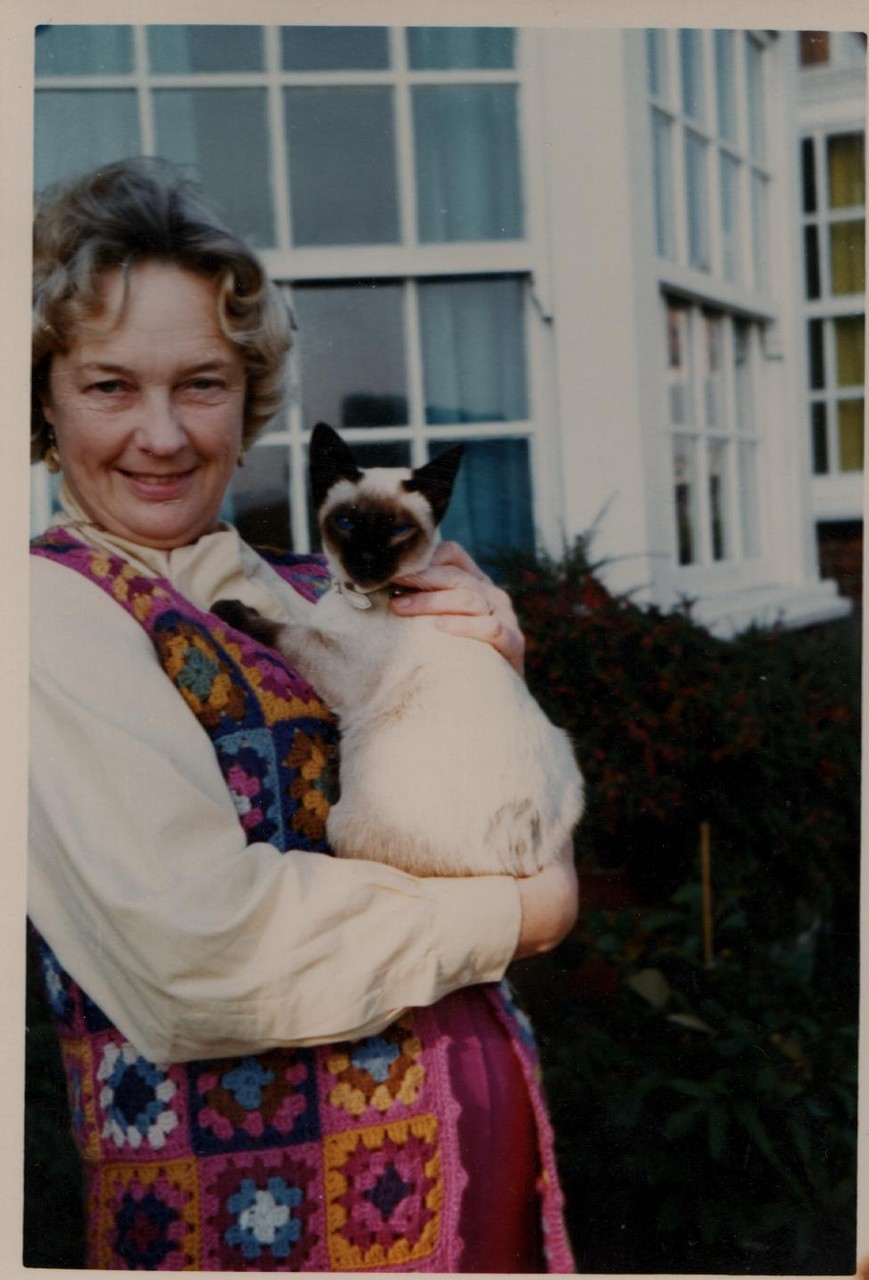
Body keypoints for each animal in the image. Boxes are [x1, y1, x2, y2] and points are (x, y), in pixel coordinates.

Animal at [215, 422, 583, 880]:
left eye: (398, 532)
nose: (366, 561)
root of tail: (522, 854)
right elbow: (290, 607)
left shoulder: (334, 658)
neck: (358, 597)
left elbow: (280, 628)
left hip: (346, 817)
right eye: (347, 522)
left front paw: (227, 608)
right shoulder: (326, 630)